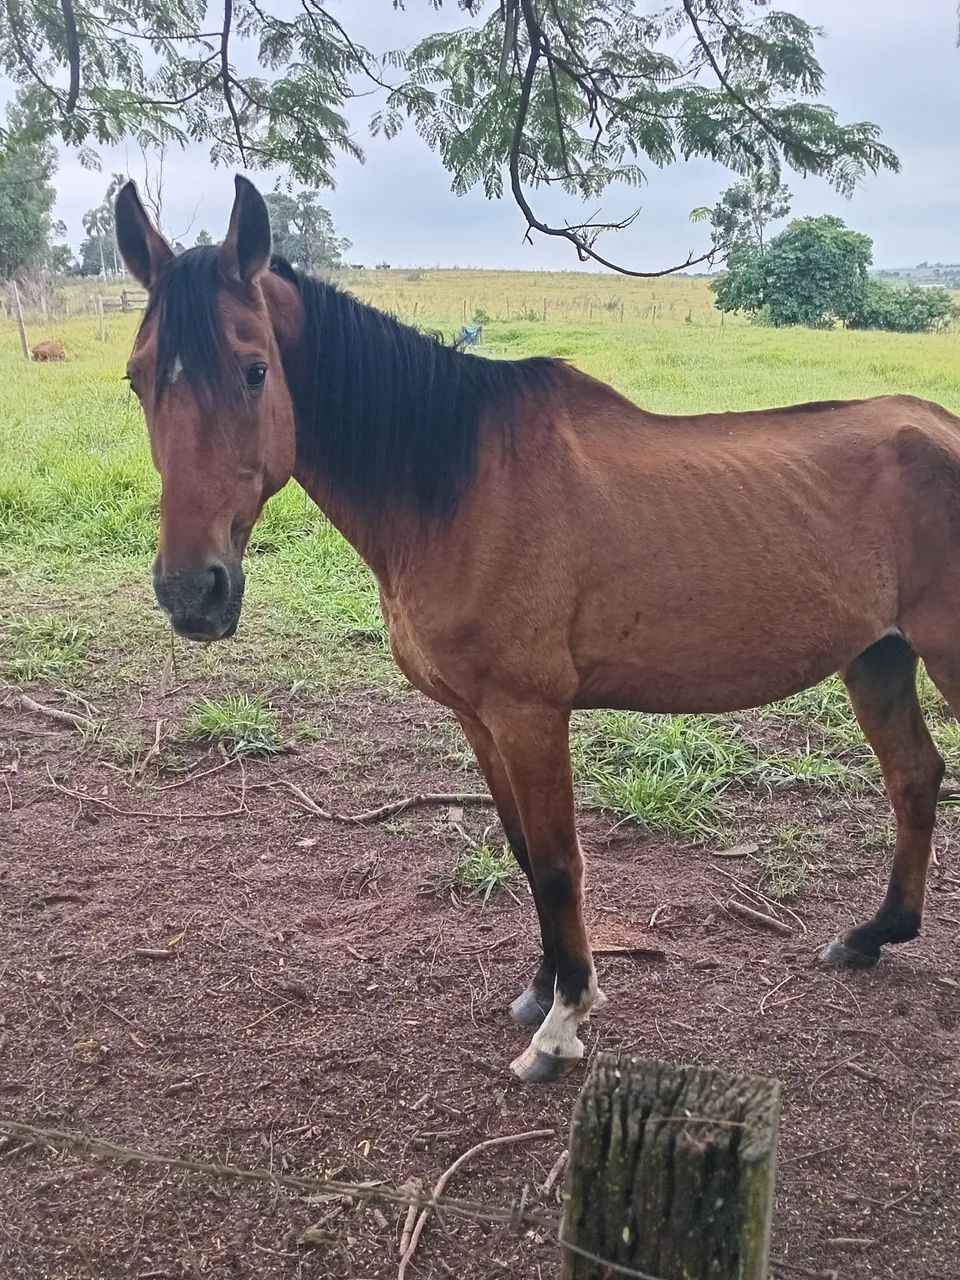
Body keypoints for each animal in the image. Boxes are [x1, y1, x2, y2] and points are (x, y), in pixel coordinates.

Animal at [116, 174, 960, 1084]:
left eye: (255, 370)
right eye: (136, 381)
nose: (192, 591)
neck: (454, 486)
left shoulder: (530, 712)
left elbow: (558, 866)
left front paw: (562, 1027)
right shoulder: (478, 717)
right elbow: (523, 850)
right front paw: (540, 988)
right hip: (877, 658)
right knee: (914, 777)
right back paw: (873, 936)